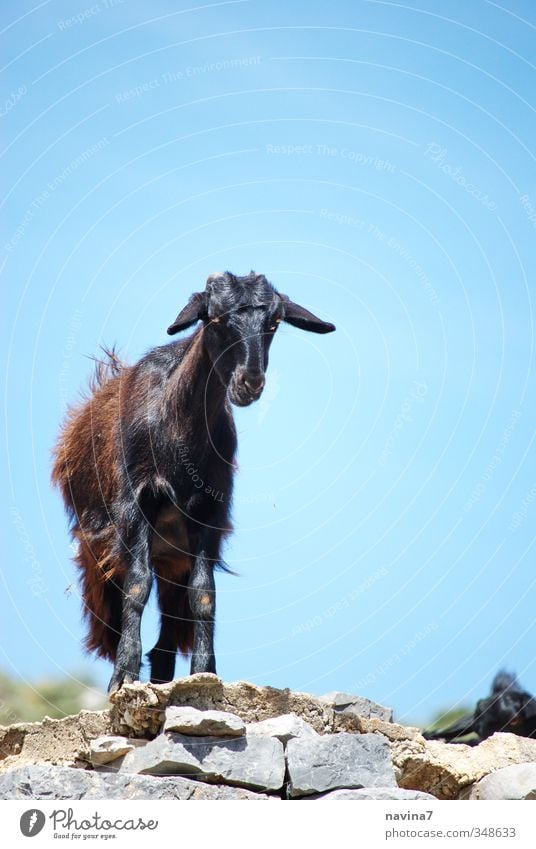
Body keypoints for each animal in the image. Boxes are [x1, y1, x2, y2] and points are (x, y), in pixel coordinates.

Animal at [51, 268, 336, 692]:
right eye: (214, 318)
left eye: (273, 322)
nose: (249, 383)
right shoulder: (136, 503)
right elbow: (137, 586)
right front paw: (123, 676)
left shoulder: (208, 513)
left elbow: (204, 595)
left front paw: (206, 673)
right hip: (102, 547)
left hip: (172, 557)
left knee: (167, 639)